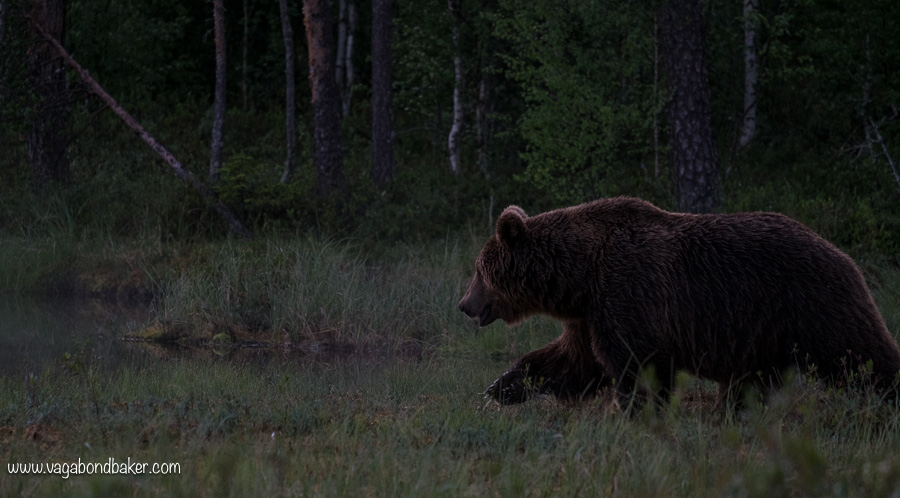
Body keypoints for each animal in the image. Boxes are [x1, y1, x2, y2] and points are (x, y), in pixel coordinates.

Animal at [458, 197, 900, 410]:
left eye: (479, 270)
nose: (463, 304)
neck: (579, 275)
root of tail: (844, 255)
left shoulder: (629, 291)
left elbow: (638, 365)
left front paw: (635, 411)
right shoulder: (591, 313)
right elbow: (572, 361)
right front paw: (501, 386)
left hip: (811, 303)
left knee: (860, 354)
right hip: (764, 332)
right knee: (751, 380)